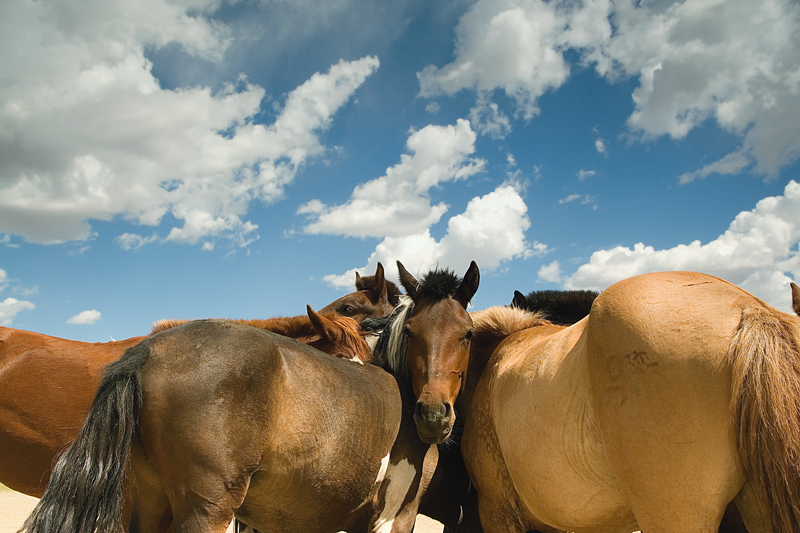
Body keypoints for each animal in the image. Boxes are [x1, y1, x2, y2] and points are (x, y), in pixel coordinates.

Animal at [20, 261, 480, 533]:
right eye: (413, 331)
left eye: (467, 333)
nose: (434, 416)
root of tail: (149, 350)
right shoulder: (393, 517)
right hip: (207, 511)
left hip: (152, 505)